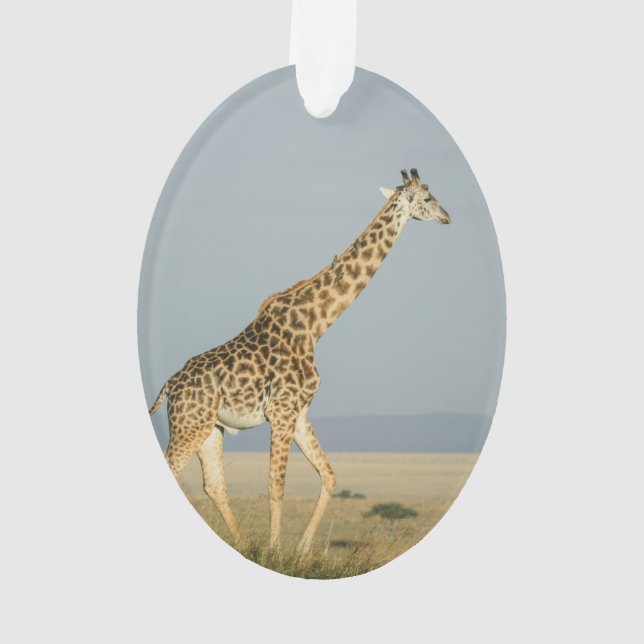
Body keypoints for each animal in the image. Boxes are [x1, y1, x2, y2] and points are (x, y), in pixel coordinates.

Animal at [148, 168, 450, 554]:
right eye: (427, 198)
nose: (447, 217)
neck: (315, 324)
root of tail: (170, 385)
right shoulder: (281, 410)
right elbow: (276, 486)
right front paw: (276, 550)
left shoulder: (300, 411)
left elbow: (330, 475)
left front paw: (302, 550)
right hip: (189, 424)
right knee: (176, 470)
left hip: (209, 428)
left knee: (214, 485)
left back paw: (242, 544)